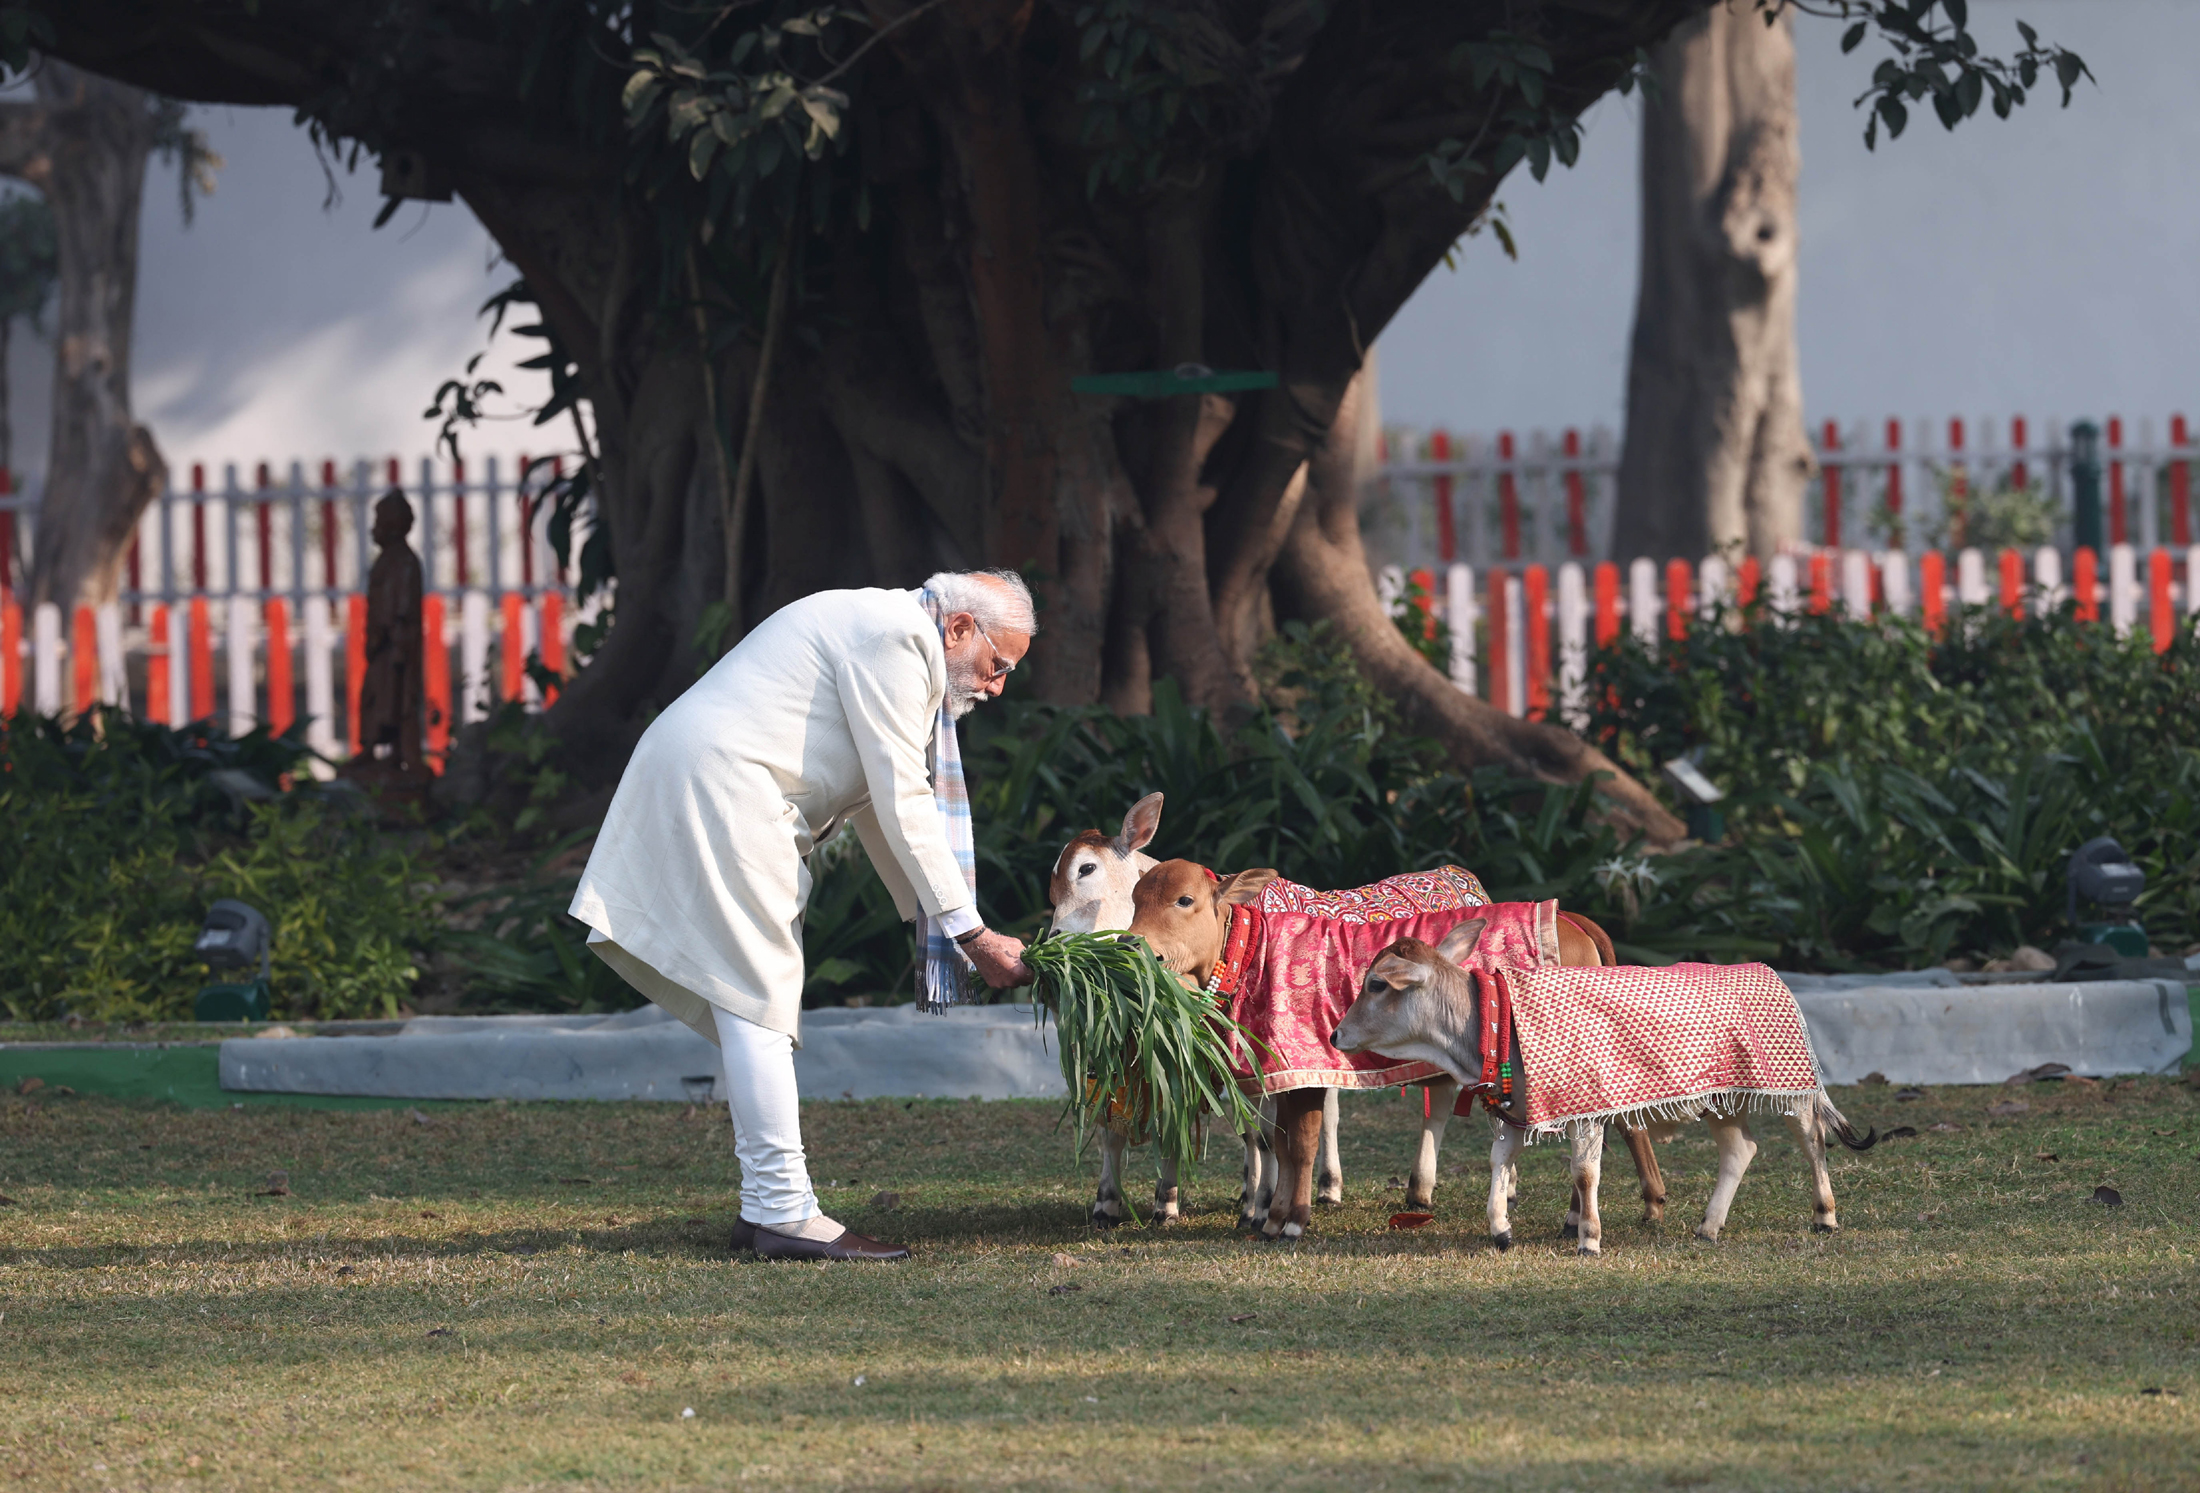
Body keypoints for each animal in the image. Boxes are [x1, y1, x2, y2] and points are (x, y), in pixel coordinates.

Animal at [1333, 933, 1877, 1254]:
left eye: (1377, 984)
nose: (1337, 1035)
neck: (1491, 1022)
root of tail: (1766, 970)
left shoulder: (1586, 1110)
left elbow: (1584, 1172)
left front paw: (1589, 1237)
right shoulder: (1514, 1112)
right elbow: (1498, 1163)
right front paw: (1500, 1228)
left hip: (1791, 1089)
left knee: (1812, 1141)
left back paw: (1825, 1214)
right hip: (1719, 1098)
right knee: (1741, 1149)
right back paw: (1709, 1225)